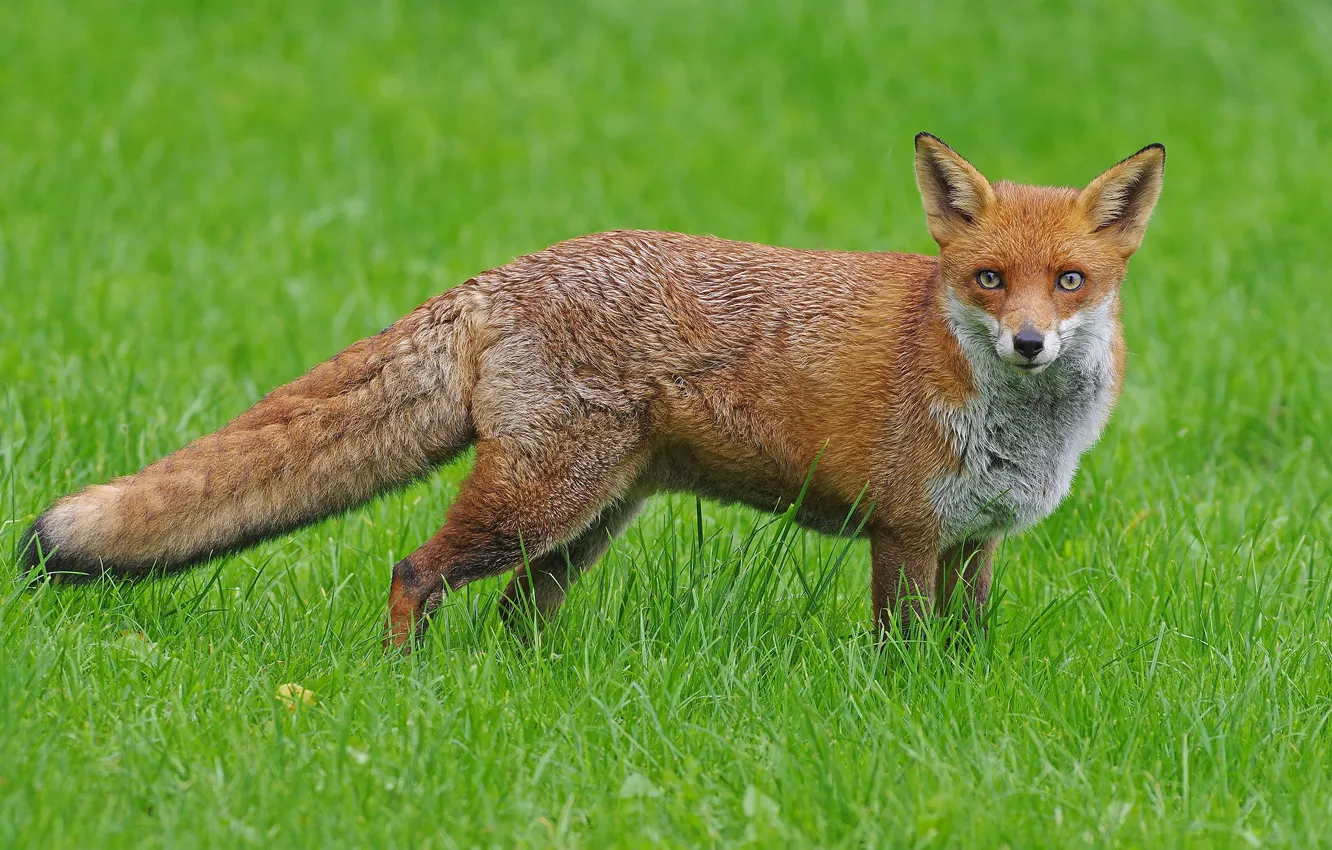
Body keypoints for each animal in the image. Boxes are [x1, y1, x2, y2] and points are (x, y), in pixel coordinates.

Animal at [21, 134, 1165, 650]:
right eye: (988, 279)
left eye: (1070, 280)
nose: (1028, 342)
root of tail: (505, 273)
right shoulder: (905, 533)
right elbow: (898, 651)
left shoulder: (975, 541)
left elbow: (962, 650)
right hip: (539, 502)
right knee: (414, 568)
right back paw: (400, 679)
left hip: (588, 520)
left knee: (513, 615)